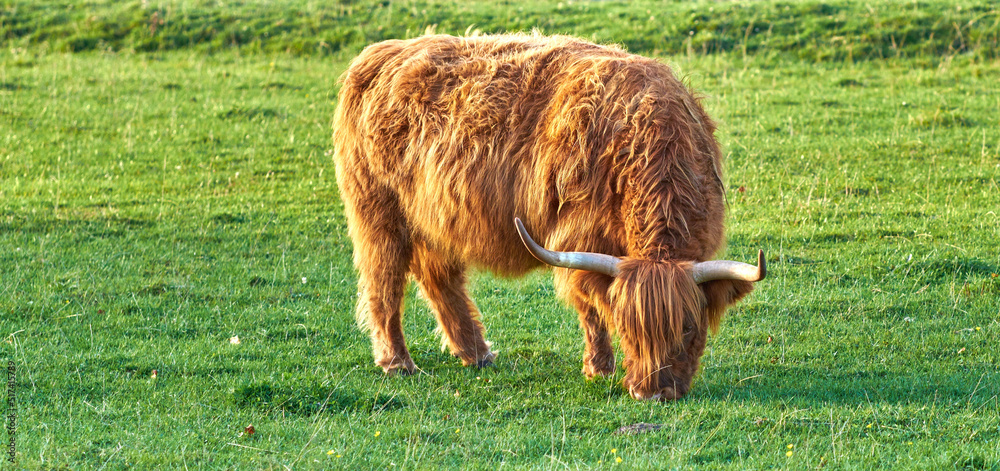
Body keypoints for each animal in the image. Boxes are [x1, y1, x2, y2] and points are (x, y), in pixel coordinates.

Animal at [332, 33, 760, 402]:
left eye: (688, 328)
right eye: (627, 328)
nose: (651, 392)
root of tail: (381, 53)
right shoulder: (580, 237)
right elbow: (589, 306)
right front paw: (599, 368)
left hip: (436, 218)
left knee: (439, 277)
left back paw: (476, 353)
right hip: (377, 212)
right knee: (384, 282)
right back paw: (398, 363)